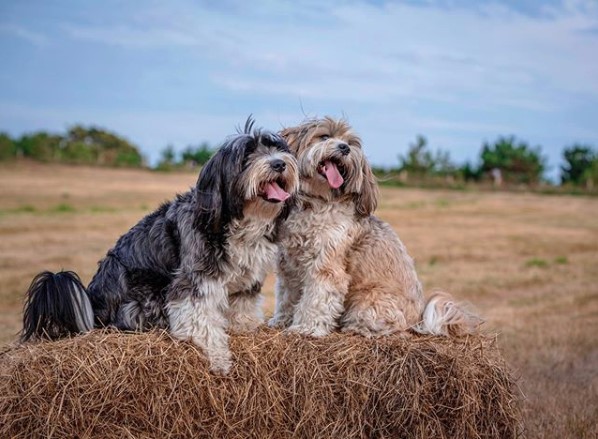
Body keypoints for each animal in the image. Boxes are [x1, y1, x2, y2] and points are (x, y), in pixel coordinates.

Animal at [22, 118, 300, 372]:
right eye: (247, 155)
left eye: (275, 148)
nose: (279, 163)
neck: (239, 219)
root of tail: (92, 304)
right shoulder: (194, 275)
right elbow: (197, 315)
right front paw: (215, 350)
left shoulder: (247, 276)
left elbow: (242, 304)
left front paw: (245, 326)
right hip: (144, 296)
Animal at [268, 118, 482, 338]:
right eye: (324, 136)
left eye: (350, 143)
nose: (344, 148)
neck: (316, 203)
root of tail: (419, 318)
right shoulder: (288, 267)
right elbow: (287, 296)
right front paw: (282, 321)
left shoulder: (326, 267)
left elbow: (316, 299)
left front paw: (306, 328)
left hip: (368, 303)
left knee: (392, 328)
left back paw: (356, 328)